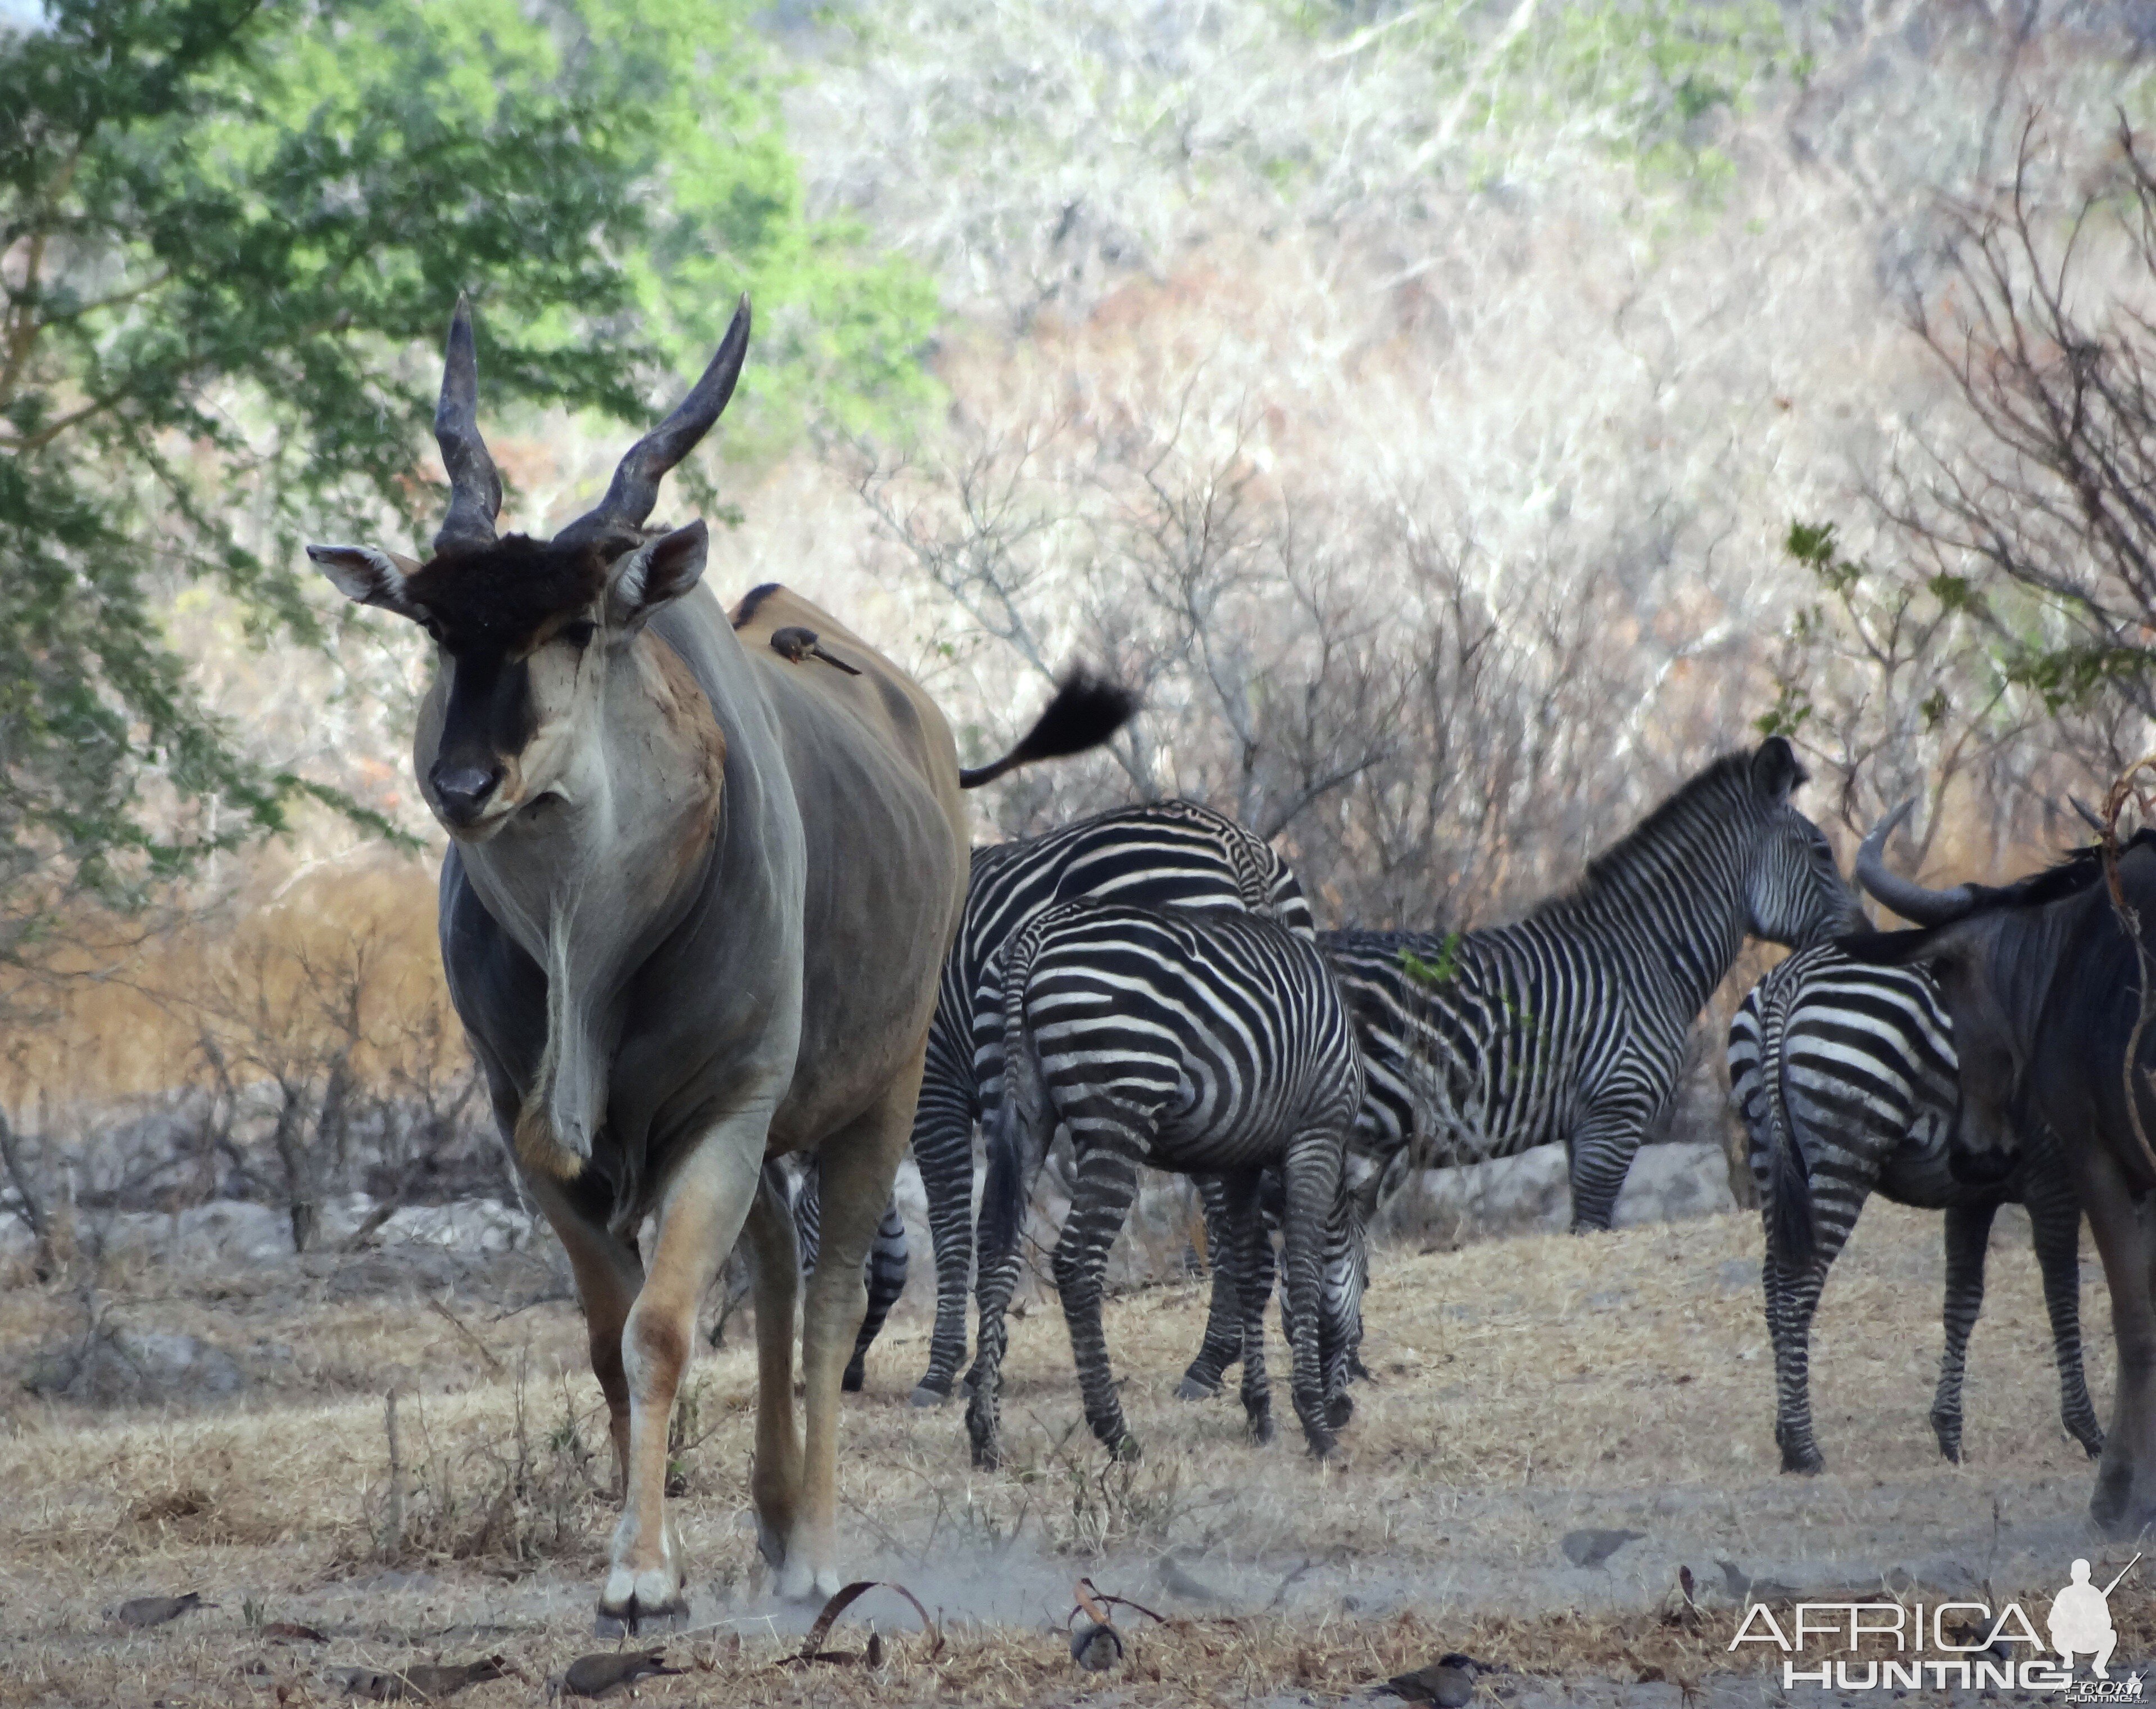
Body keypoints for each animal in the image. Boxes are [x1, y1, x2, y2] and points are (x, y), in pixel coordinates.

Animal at [862, 801, 1310, 1396]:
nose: (845, 1377)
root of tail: (1233, 838)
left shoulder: (933, 1082)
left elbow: (951, 1220)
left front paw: (942, 1368)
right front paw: (983, 1361)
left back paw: (1209, 1360)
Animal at [965, 892, 1362, 1465]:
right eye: (1367, 1281)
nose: (1344, 1409)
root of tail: (1036, 931)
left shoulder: (1239, 1159)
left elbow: (1251, 1272)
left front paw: (1259, 1414)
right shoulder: (1317, 1132)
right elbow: (1304, 1268)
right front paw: (1314, 1424)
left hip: (1011, 1105)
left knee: (997, 1251)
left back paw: (985, 1435)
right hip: (1117, 1113)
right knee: (1076, 1262)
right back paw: (1116, 1433)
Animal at [1310, 732, 1854, 1224]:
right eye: (1822, 852)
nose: (1864, 937)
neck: (1647, 955)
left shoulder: (1587, 1125)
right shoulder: (1615, 1111)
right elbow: (1592, 1223)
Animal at [1733, 939, 2104, 1474]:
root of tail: (1792, 972)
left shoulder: (1974, 1195)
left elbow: (1961, 1302)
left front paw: (1948, 1432)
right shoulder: (2053, 1175)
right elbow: (2063, 1296)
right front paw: (2087, 1429)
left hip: (1768, 1152)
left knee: (1771, 1282)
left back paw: (1786, 1437)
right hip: (1844, 1146)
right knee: (1796, 1285)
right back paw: (1804, 1448)